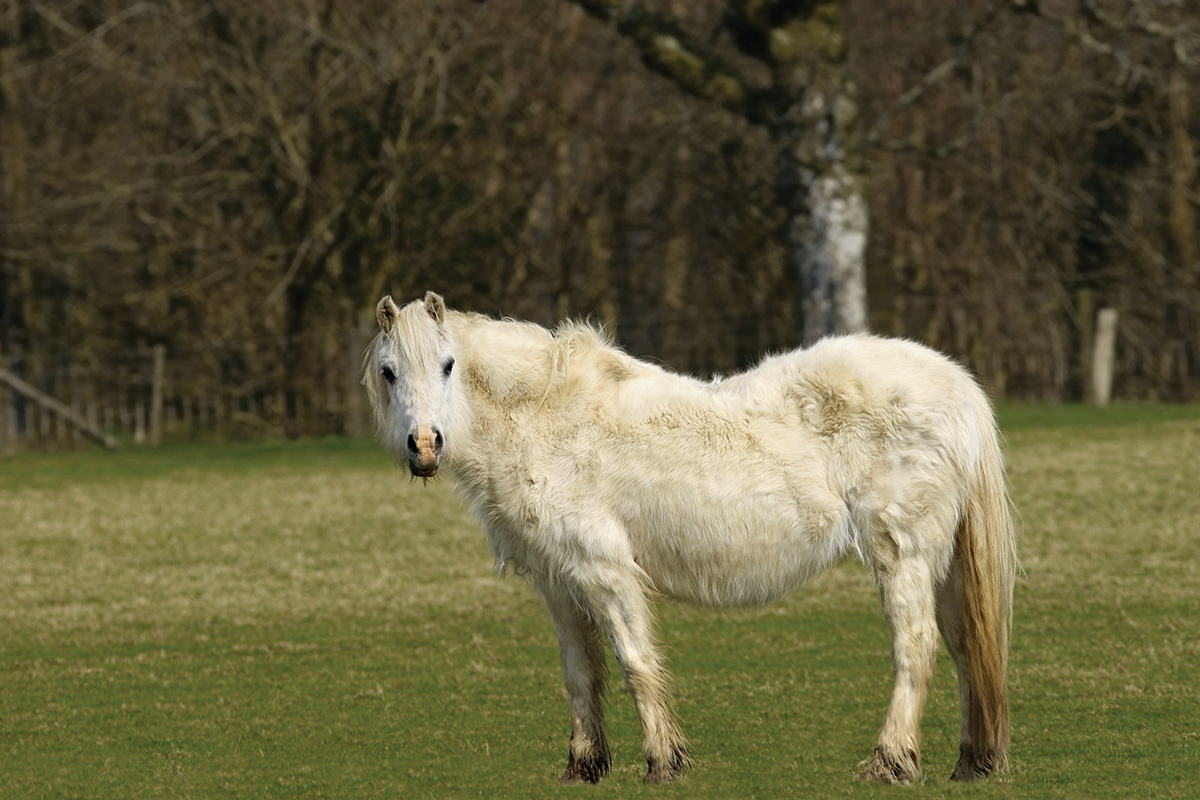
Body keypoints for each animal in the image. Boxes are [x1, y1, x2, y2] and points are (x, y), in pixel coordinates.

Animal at [363, 292, 1017, 786]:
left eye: (448, 364)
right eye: (389, 372)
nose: (425, 446)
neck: (546, 415)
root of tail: (958, 385)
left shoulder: (605, 571)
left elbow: (635, 663)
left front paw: (663, 763)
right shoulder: (559, 583)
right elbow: (580, 674)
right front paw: (584, 766)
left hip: (901, 553)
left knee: (916, 646)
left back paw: (891, 762)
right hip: (945, 564)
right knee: (965, 648)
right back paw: (970, 762)